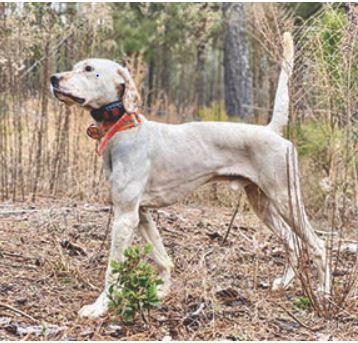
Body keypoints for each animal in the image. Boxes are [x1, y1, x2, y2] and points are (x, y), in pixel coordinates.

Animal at [49, 33, 330, 318]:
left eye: (88, 69)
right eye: (75, 66)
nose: (53, 78)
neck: (122, 128)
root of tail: (271, 130)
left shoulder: (125, 216)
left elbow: (112, 269)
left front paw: (100, 306)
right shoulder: (141, 214)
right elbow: (162, 258)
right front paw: (162, 291)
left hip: (286, 198)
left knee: (318, 245)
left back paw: (323, 294)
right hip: (261, 203)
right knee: (292, 242)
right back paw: (284, 283)